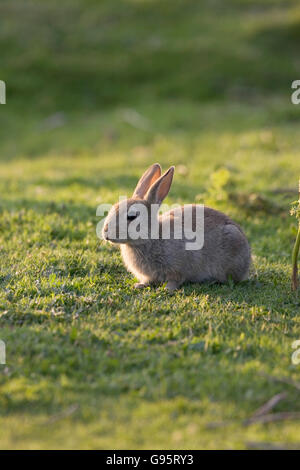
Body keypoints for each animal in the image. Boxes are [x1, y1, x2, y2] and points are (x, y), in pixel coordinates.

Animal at [102, 164, 251, 290]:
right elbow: (148, 280)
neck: (151, 238)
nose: (105, 232)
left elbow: (175, 279)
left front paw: (168, 289)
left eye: (132, 216)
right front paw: (139, 285)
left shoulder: (178, 268)